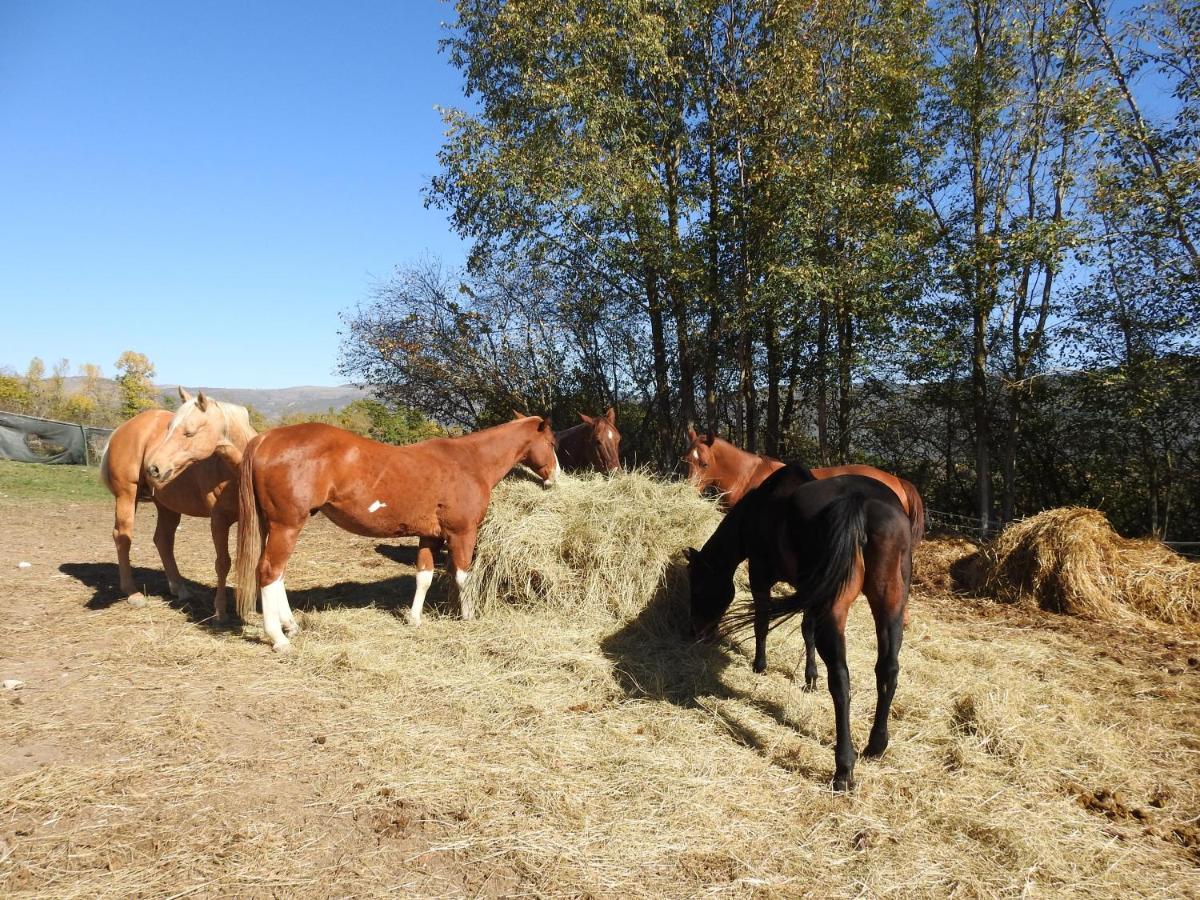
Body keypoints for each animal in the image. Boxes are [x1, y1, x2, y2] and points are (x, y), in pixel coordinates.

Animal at [100, 391, 255, 624]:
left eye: (189, 433)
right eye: (169, 429)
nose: (153, 468)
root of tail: (121, 430)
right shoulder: (219, 521)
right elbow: (223, 563)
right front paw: (220, 611)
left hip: (167, 506)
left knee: (163, 540)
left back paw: (179, 589)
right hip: (126, 496)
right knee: (122, 537)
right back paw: (133, 593)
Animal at [235, 415, 561, 657]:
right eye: (552, 442)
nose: (556, 477)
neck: (470, 461)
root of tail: (265, 439)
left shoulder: (430, 537)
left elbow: (424, 577)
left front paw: (414, 619)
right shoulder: (462, 533)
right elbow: (463, 576)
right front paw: (469, 616)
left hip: (275, 527)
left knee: (277, 575)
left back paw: (290, 625)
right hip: (286, 527)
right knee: (269, 572)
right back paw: (278, 638)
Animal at [686, 468, 907, 792]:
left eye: (698, 584)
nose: (696, 631)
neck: (758, 507)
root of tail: (859, 501)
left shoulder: (760, 576)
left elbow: (762, 622)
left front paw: (760, 665)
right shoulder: (810, 592)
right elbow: (806, 630)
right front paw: (809, 677)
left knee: (841, 680)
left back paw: (844, 768)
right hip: (891, 603)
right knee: (888, 669)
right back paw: (876, 745)